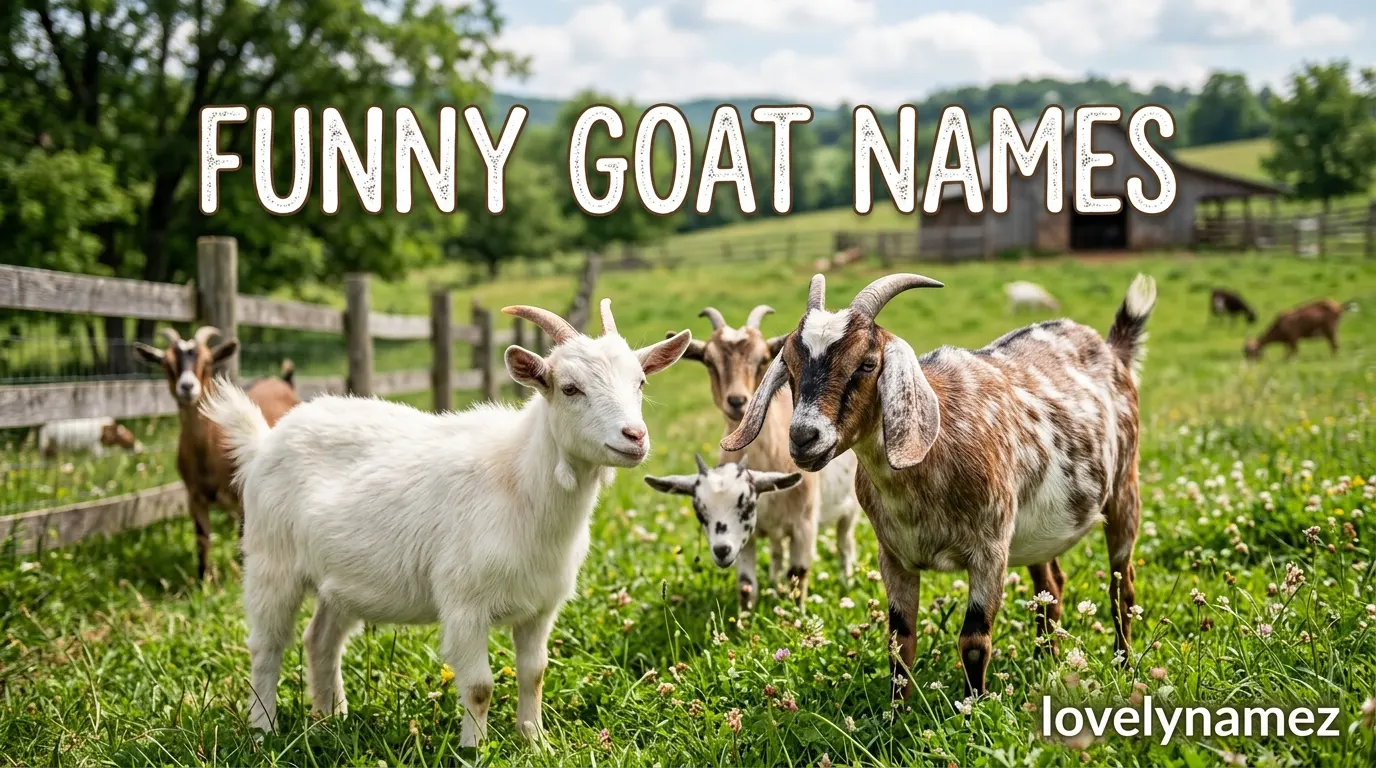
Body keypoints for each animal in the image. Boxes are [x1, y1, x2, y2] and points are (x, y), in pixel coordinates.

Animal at [133, 327, 298, 580]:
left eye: (208, 361)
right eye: (166, 363)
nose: (187, 387)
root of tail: (283, 382)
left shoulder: (242, 498)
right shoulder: (194, 496)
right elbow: (202, 538)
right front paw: (204, 580)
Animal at [201, 300, 691, 746]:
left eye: (640, 382)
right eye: (570, 388)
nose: (634, 437)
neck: (518, 482)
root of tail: (264, 441)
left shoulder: (540, 606)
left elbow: (533, 674)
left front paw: (536, 742)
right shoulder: (464, 604)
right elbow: (478, 687)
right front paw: (475, 750)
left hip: (338, 582)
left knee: (319, 640)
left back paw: (329, 722)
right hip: (271, 561)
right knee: (267, 646)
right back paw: (264, 731)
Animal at [672, 306, 863, 608]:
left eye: (763, 359)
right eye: (709, 361)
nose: (737, 401)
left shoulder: (804, 525)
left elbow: (799, 574)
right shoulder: (742, 531)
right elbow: (746, 584)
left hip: (849, 509)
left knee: (845, 542)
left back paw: (847, 580)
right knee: (776, 550)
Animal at [722, 272, 1156, 700]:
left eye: (867, 363)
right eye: (790, 365)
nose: (804, 437)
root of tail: (1112, 350)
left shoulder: (990, 550)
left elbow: (974, 641)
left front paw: (973, 709)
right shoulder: (893, 556)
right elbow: (900, 642)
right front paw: (896, 714)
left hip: (1124, 492)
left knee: (1122, 590)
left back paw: (1122, 663)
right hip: (1037, 531)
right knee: (1050, 588)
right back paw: (1044, 661)